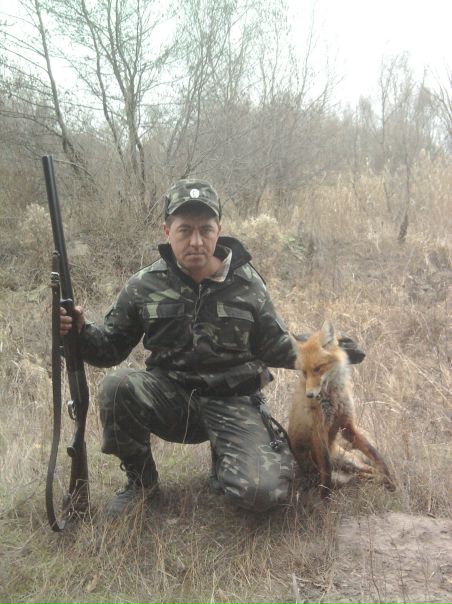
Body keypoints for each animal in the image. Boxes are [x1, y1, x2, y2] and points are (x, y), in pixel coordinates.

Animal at [288, 321, 396, 498]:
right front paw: (324, 499)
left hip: (350, 461)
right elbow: (326, 470)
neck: (334, 397)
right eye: (304, 372)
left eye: (317, 368)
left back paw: (385, 481)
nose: (309, 395)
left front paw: (388, 474)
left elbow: (374, 453)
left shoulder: (347, 426)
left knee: (369, 470)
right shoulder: (319, 431)